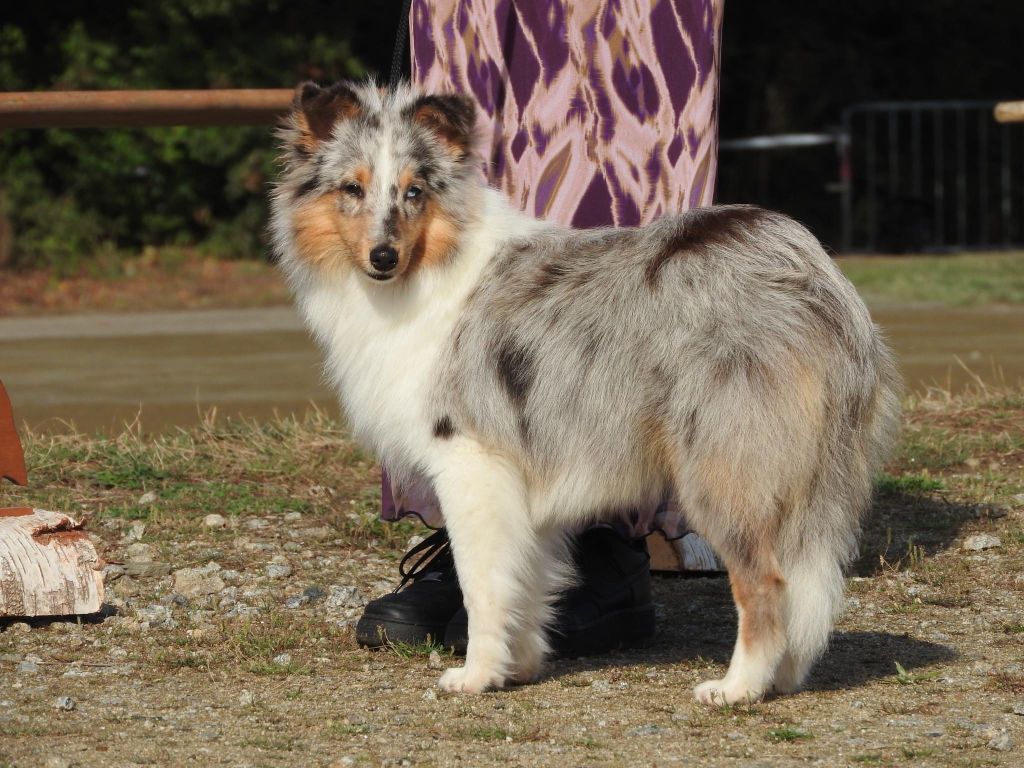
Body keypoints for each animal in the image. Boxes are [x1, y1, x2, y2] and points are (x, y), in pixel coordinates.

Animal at [268, 81, 901, 708]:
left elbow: (483, 585)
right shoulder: (524, 477)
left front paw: (475, 674)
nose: (382, 258)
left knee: (765, 581)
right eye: (352, 188)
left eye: (414, 192)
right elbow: (525, 583)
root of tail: (817, 278)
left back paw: (738, 687)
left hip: (723, 465)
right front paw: (518, 667)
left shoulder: (472, 462)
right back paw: (785, 677)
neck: (431, 265)